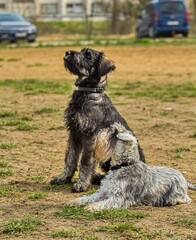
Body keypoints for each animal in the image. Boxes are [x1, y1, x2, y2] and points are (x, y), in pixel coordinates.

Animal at [50, 47, 145, 192]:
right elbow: (70, 158)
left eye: (88, 55)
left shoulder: (91, 135)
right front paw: (63, 178)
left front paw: (81, 184)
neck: (88, 92)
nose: (67, 52)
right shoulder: (74, 133)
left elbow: (85, 160)